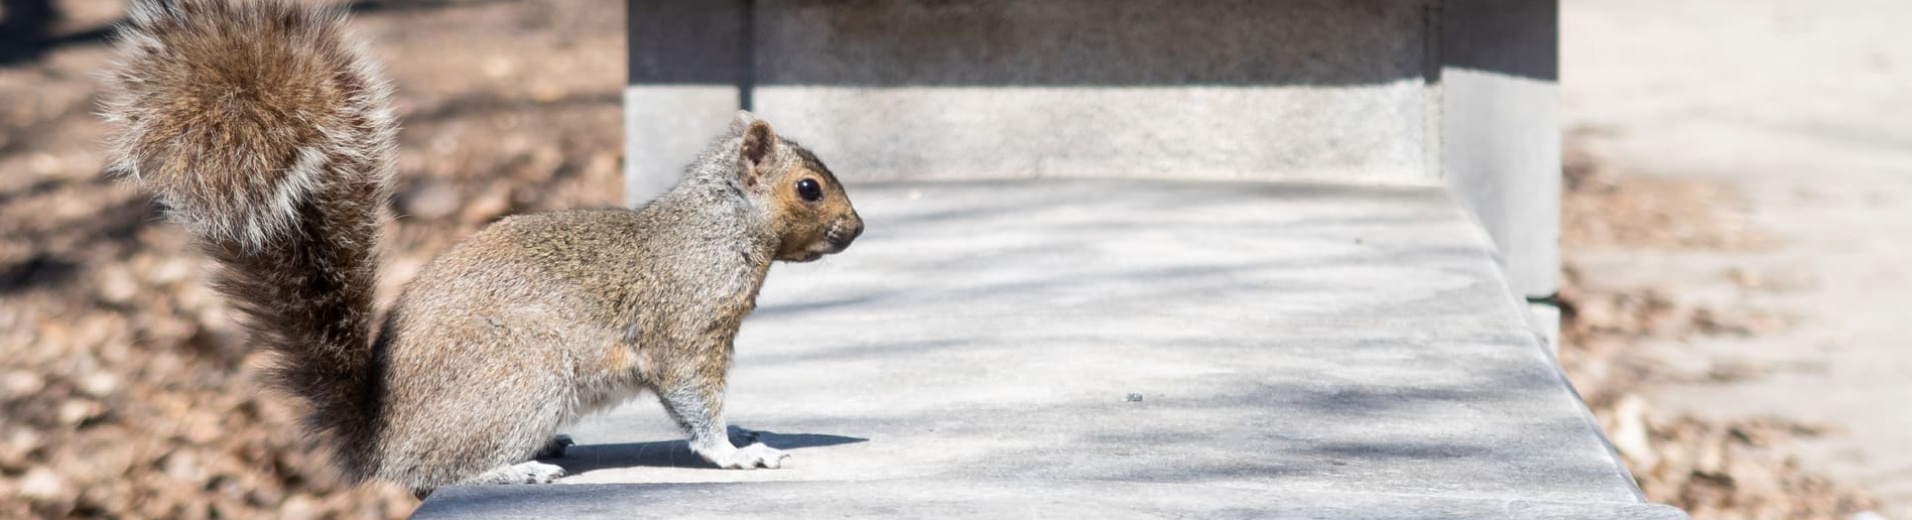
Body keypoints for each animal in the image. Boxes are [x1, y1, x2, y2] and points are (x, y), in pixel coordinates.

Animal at [97, 0, 860, 497]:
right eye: (809, 188)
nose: (856, 230)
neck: (719, 226)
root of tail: (377, 442)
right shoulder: (687, 329)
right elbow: (695, 403)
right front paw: (737, 454)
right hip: (521, 371)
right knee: (431, 471)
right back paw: (516, 466)